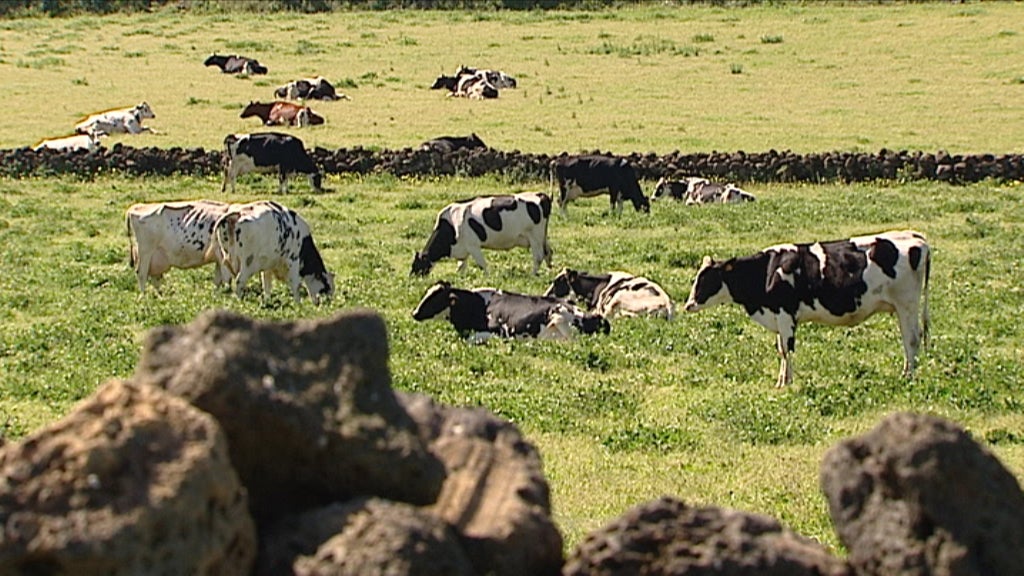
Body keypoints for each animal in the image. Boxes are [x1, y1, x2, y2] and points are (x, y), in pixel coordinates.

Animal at [410, 192, 553, 277]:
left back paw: (532, 275)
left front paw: (488, 277)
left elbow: (481, 264)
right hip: (543, 237)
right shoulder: (463, 249)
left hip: (535, 237)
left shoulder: (473, 246)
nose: (411, 278)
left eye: (416, 265)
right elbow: (461, 266)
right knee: (548, 252)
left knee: (538, 256)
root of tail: (540, 195)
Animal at [683, 230, 931, 387]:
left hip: (906, 305)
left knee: (911, 339)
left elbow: (787, 349)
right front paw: (782, 380)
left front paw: (786, 383)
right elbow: (781, 349)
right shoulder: (778, 316)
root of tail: (915, 237)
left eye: (706, 279)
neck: (767, 272)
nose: (688, 304)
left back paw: (907, 376)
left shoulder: (785, 315)